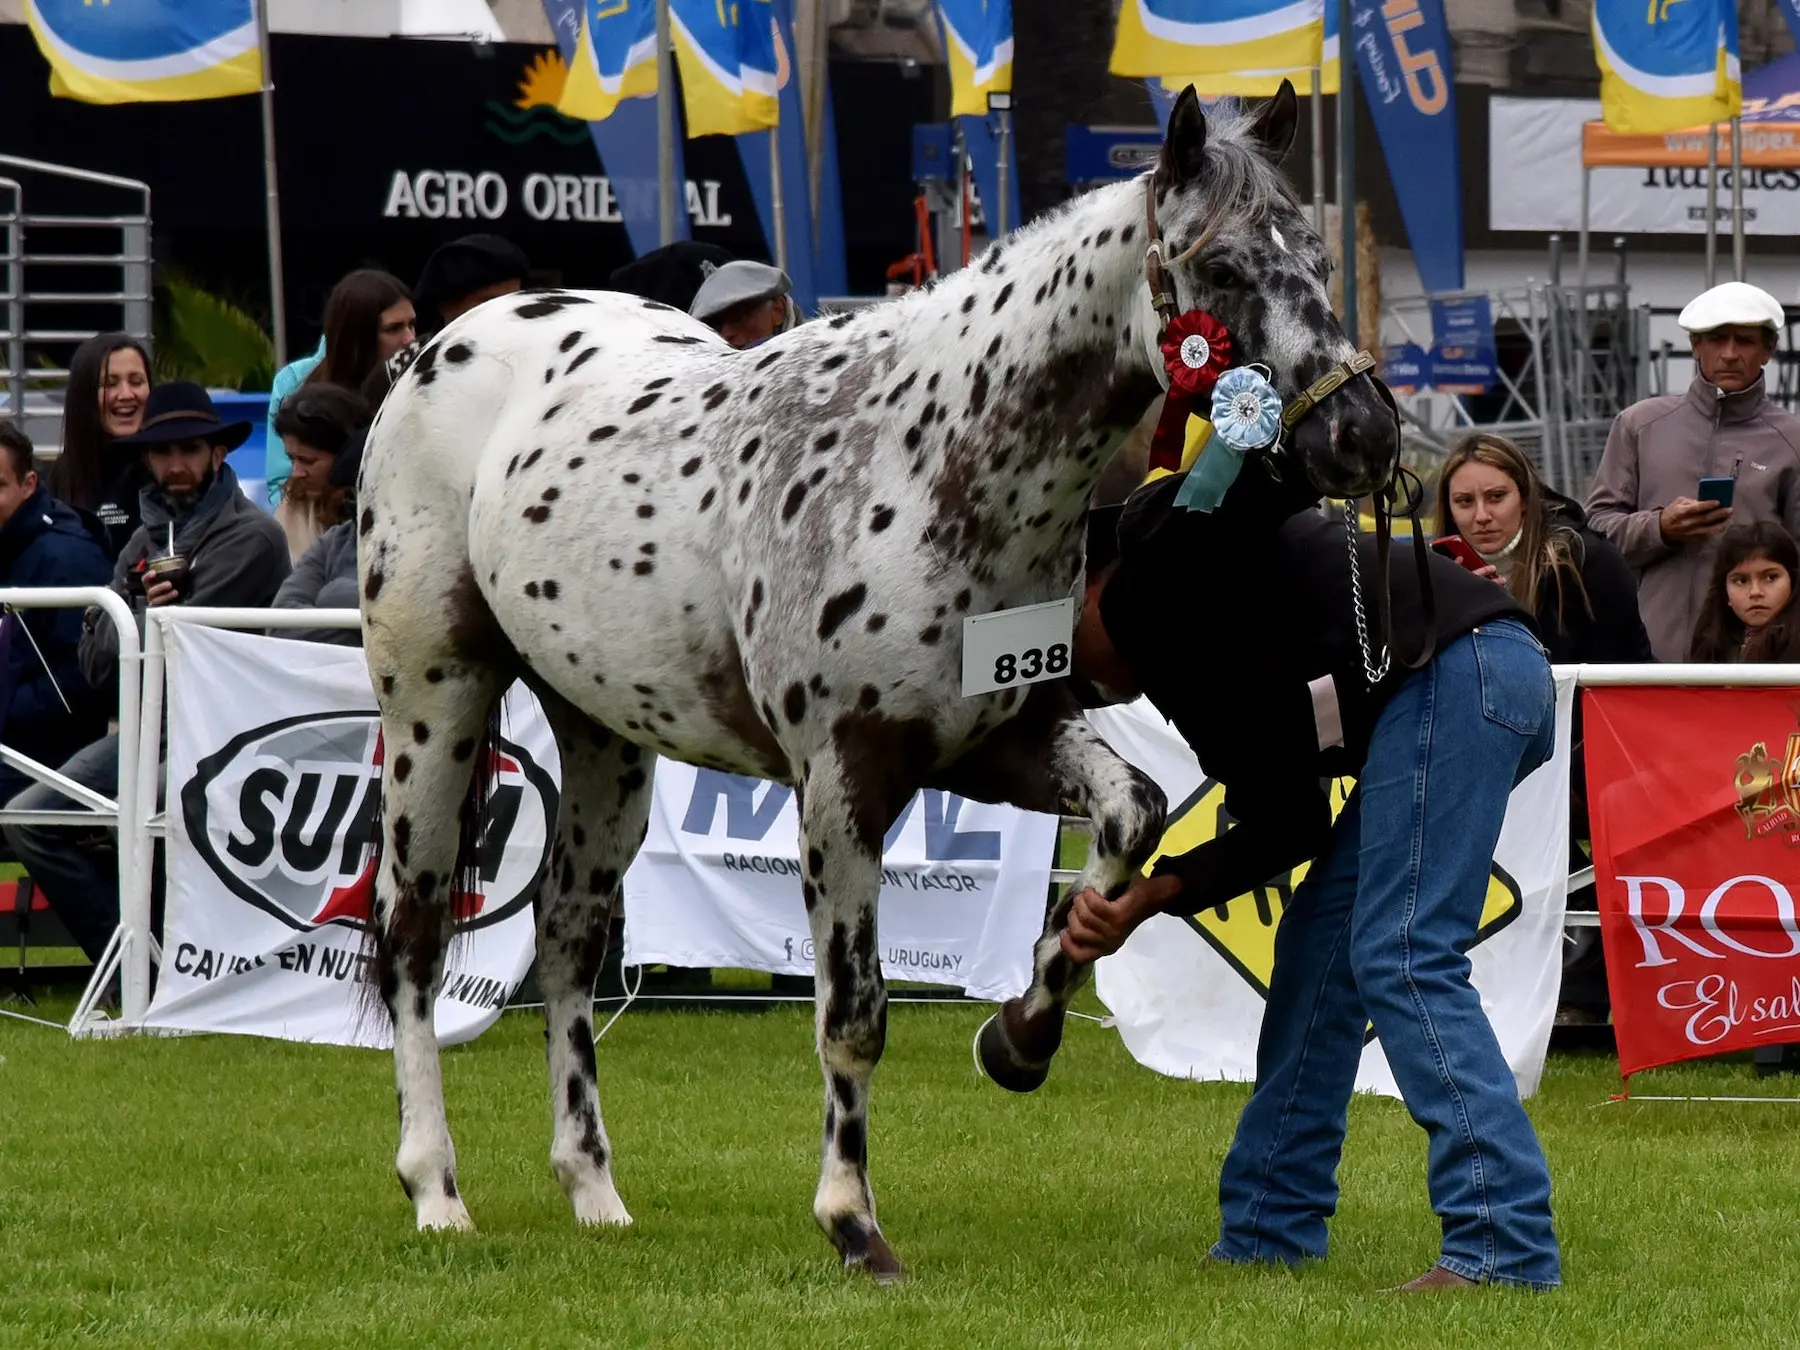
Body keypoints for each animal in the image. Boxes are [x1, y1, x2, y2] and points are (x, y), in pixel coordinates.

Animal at [351, 81, 1389, 1281]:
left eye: (1316, 254)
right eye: (1220, 267)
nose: (1363, 434)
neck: (933, 461)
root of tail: (446, 346)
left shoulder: (1001, 741)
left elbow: (1132, 815)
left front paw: (1023, 1031)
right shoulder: (844, 783)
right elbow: (853, 1014)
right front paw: (854, 1221)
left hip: (605, 733)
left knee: (568, 934)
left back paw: (595, 1190)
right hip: (435, 700)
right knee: (416, 935)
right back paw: (436, 1191)